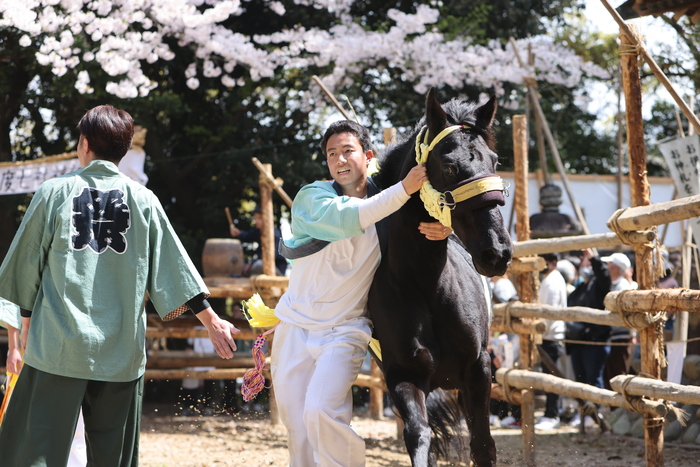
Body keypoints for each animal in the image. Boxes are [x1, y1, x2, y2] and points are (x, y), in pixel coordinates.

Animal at [370, 88, 512, 467]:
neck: (427, 286)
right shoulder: (403, 375)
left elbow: (484, 444)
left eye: (495, 162)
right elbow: (419, 437)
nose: (497, 251)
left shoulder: (478, 370)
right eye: (449, 166)